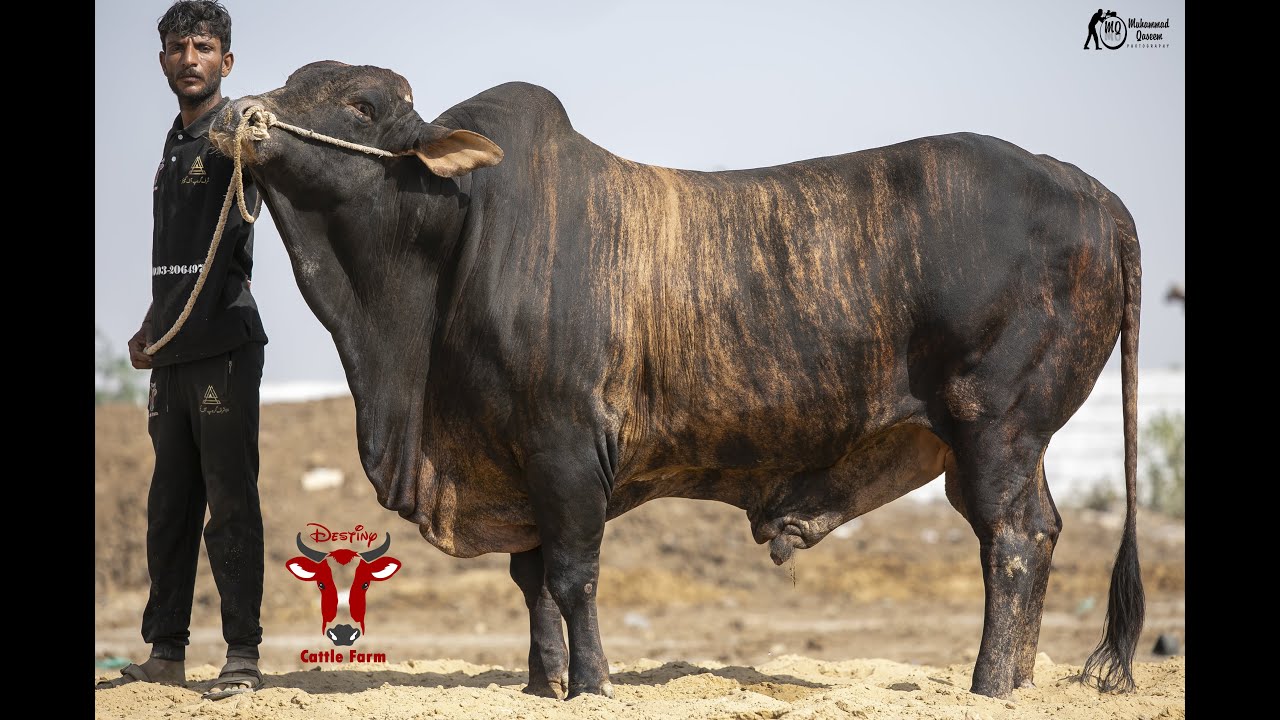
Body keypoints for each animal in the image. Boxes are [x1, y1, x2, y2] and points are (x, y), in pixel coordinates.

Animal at [211, 60, 1144, 700]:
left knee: (1012, 540)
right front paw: (540, 683)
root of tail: (1090, 189)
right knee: (1043, 531)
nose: (233, 111)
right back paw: (1019, 681)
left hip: (994, 426)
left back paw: (988, 683)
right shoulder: (514, 462)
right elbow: (530, 582)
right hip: (1014, 439)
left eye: (360, 106)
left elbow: (571, 576)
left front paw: (590, 683)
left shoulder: (564, 450)